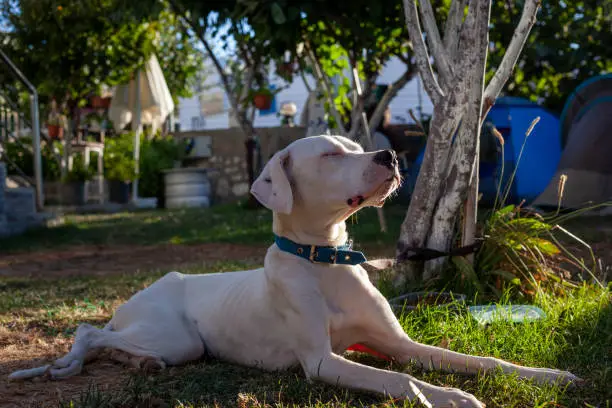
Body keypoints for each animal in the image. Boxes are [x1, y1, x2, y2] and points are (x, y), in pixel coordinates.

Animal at [9, 135, 580, 406]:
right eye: (329, 154)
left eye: (357, 146)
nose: (390, 155)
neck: (325, 259)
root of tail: (142, 294)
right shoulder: (322, 361)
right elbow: (401, 381)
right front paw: (453, 397)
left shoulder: (398, 345)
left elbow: (480, 359)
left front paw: (547, 375)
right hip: (177, 337)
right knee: (89, 331)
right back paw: (69, 364)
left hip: (168, 343)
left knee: (111, 342)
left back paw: (137, 364)